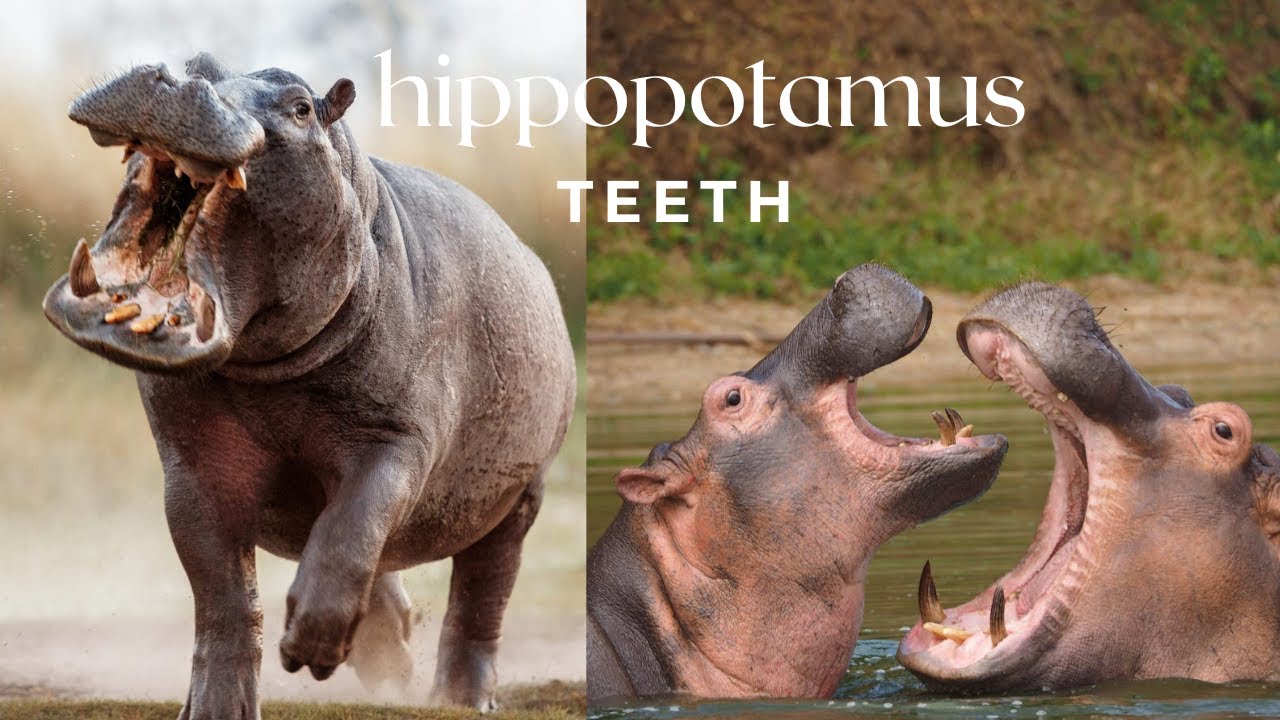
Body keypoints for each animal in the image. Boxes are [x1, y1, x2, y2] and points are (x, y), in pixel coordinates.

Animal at [41, 54, 575, 717]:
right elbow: (223, 597)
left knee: (482, 592)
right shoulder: (192, 466)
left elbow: (354, 526)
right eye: (197, 63)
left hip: (521, 496)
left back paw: (461, 697)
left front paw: (312, 651)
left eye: (300, 106)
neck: (267, 369)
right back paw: (390, 656)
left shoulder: (395, 440)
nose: (172, 78)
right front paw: (217, 707)